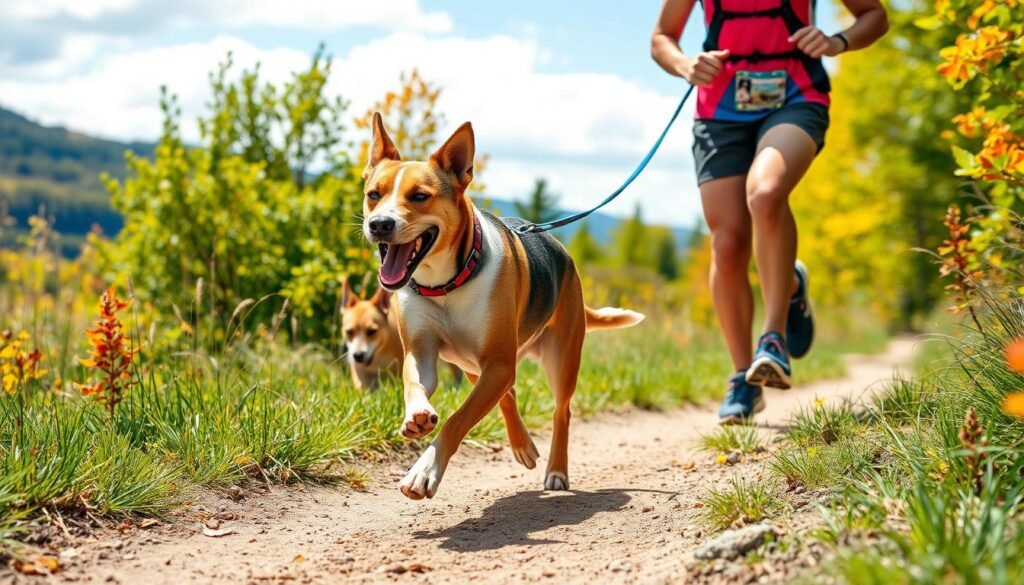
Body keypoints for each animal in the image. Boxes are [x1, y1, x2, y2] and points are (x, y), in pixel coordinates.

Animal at [364, 113, 643, 499]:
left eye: (419, 196)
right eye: (373, 195)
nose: (379, 224)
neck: (447, 284)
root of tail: (566, 259)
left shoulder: (496, 362)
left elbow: (457, 420)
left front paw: (424, 471)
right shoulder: (423, 352)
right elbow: (415, 382)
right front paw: (417, 414)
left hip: (560, 358)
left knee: (561, 411)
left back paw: (556, 470)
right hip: (472, 364)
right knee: (506, 394)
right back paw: (523, 445)